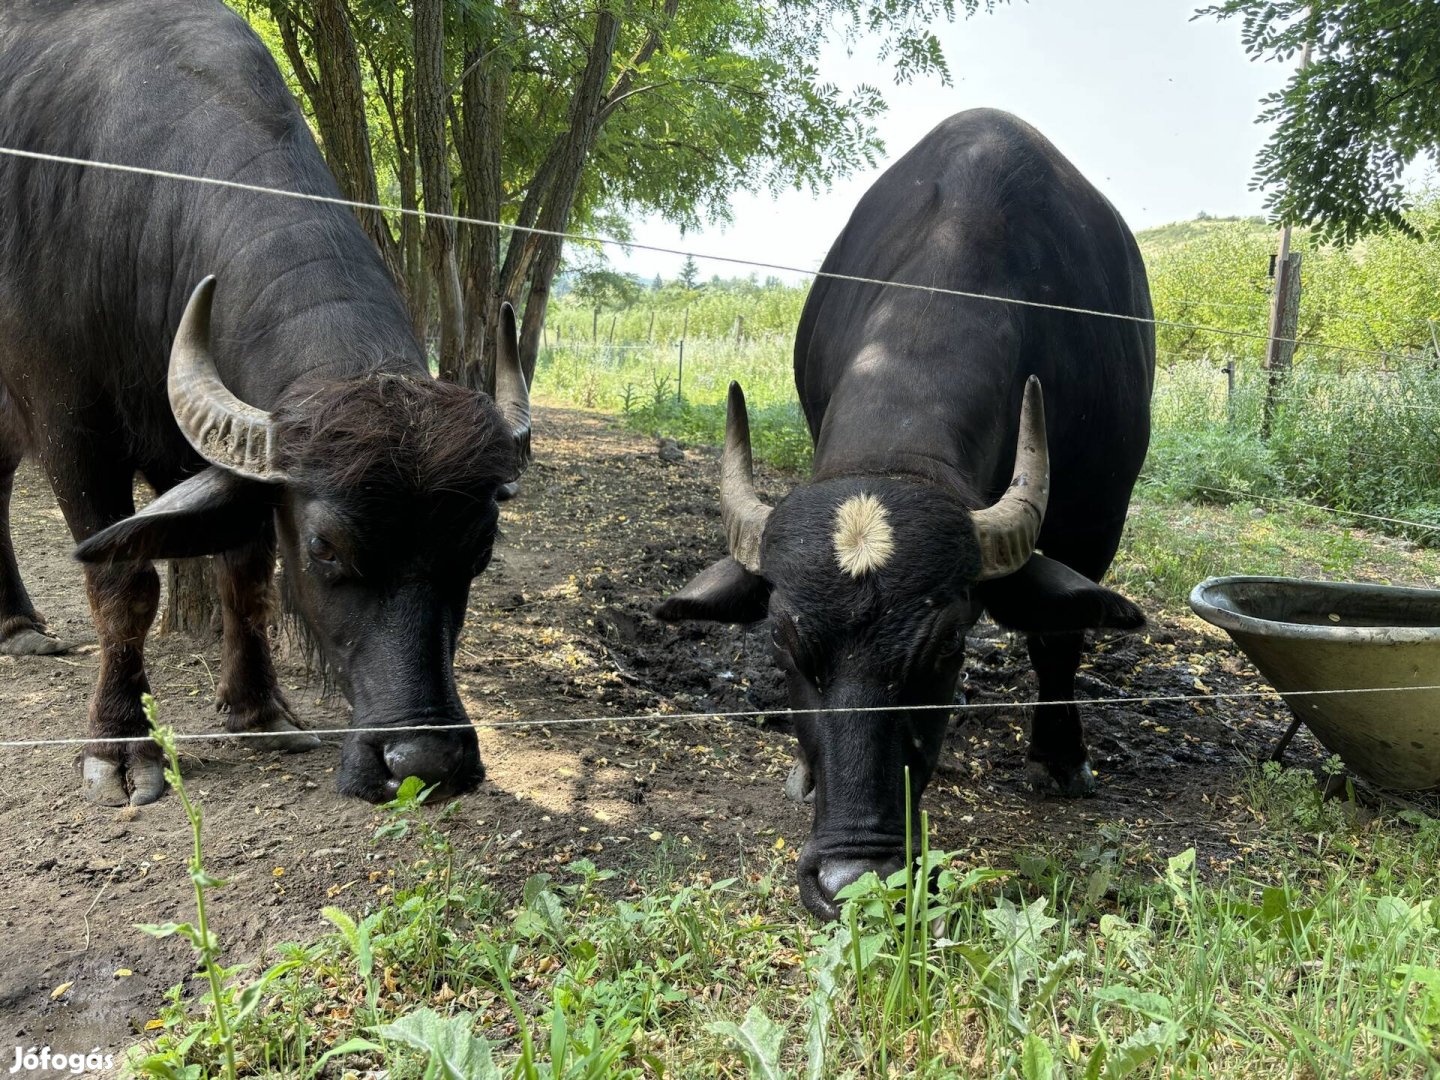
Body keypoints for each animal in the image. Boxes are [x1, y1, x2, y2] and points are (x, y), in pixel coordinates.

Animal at [1, 0, 529, 806]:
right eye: (324, 547)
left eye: (480, 549)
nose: (427, 762)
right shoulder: (72, 430)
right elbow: (123, 585)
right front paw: (121, 747)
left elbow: (244, 579)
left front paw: (259, 709)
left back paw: (14, 622)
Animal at [659, 112, 1152, 921]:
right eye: (784, 644)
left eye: (947, 646)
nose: (852, 879)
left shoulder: (1098, 511)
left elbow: (1059, 634)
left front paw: (1060, 756)